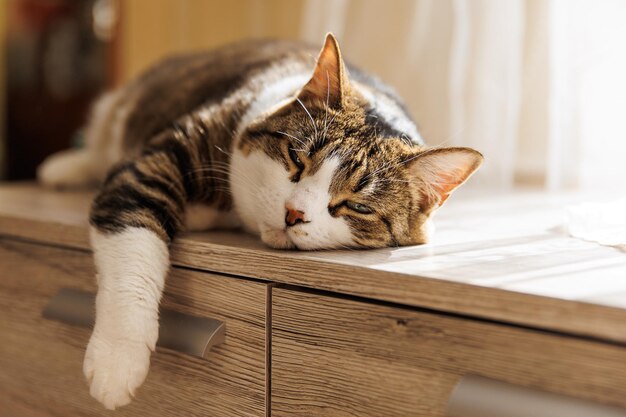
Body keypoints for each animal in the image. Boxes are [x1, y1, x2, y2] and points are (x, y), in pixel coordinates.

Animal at [36, 33, 482, 410]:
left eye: (355, 206)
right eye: (296, 158)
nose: (294, 213)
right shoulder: (153, 163)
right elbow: (134, 252)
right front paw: (118, 359)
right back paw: (64, 167)